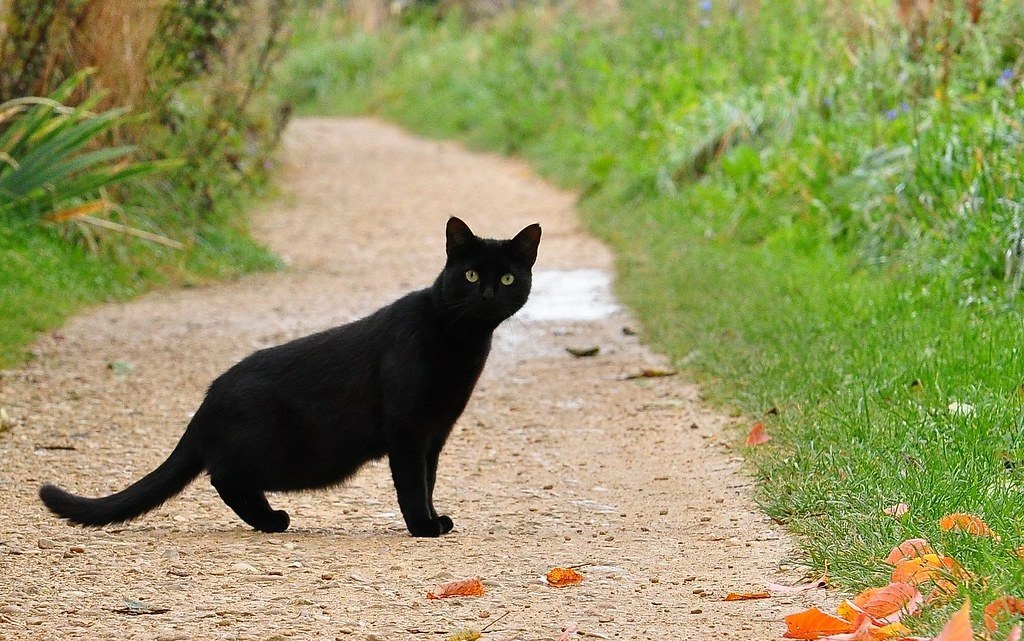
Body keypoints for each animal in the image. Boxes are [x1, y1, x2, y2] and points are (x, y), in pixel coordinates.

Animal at [37, 217, 544, 536]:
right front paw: (423, 527)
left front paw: (435, 518)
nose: (486, 295)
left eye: (506, 280)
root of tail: (208, 399)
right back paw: (272, 520)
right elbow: (412, 485)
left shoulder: (434, 435)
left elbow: (429, 480)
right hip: (288, 452)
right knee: (223, 476)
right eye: (472, 274)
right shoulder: (407, 430)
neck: (463, 342)